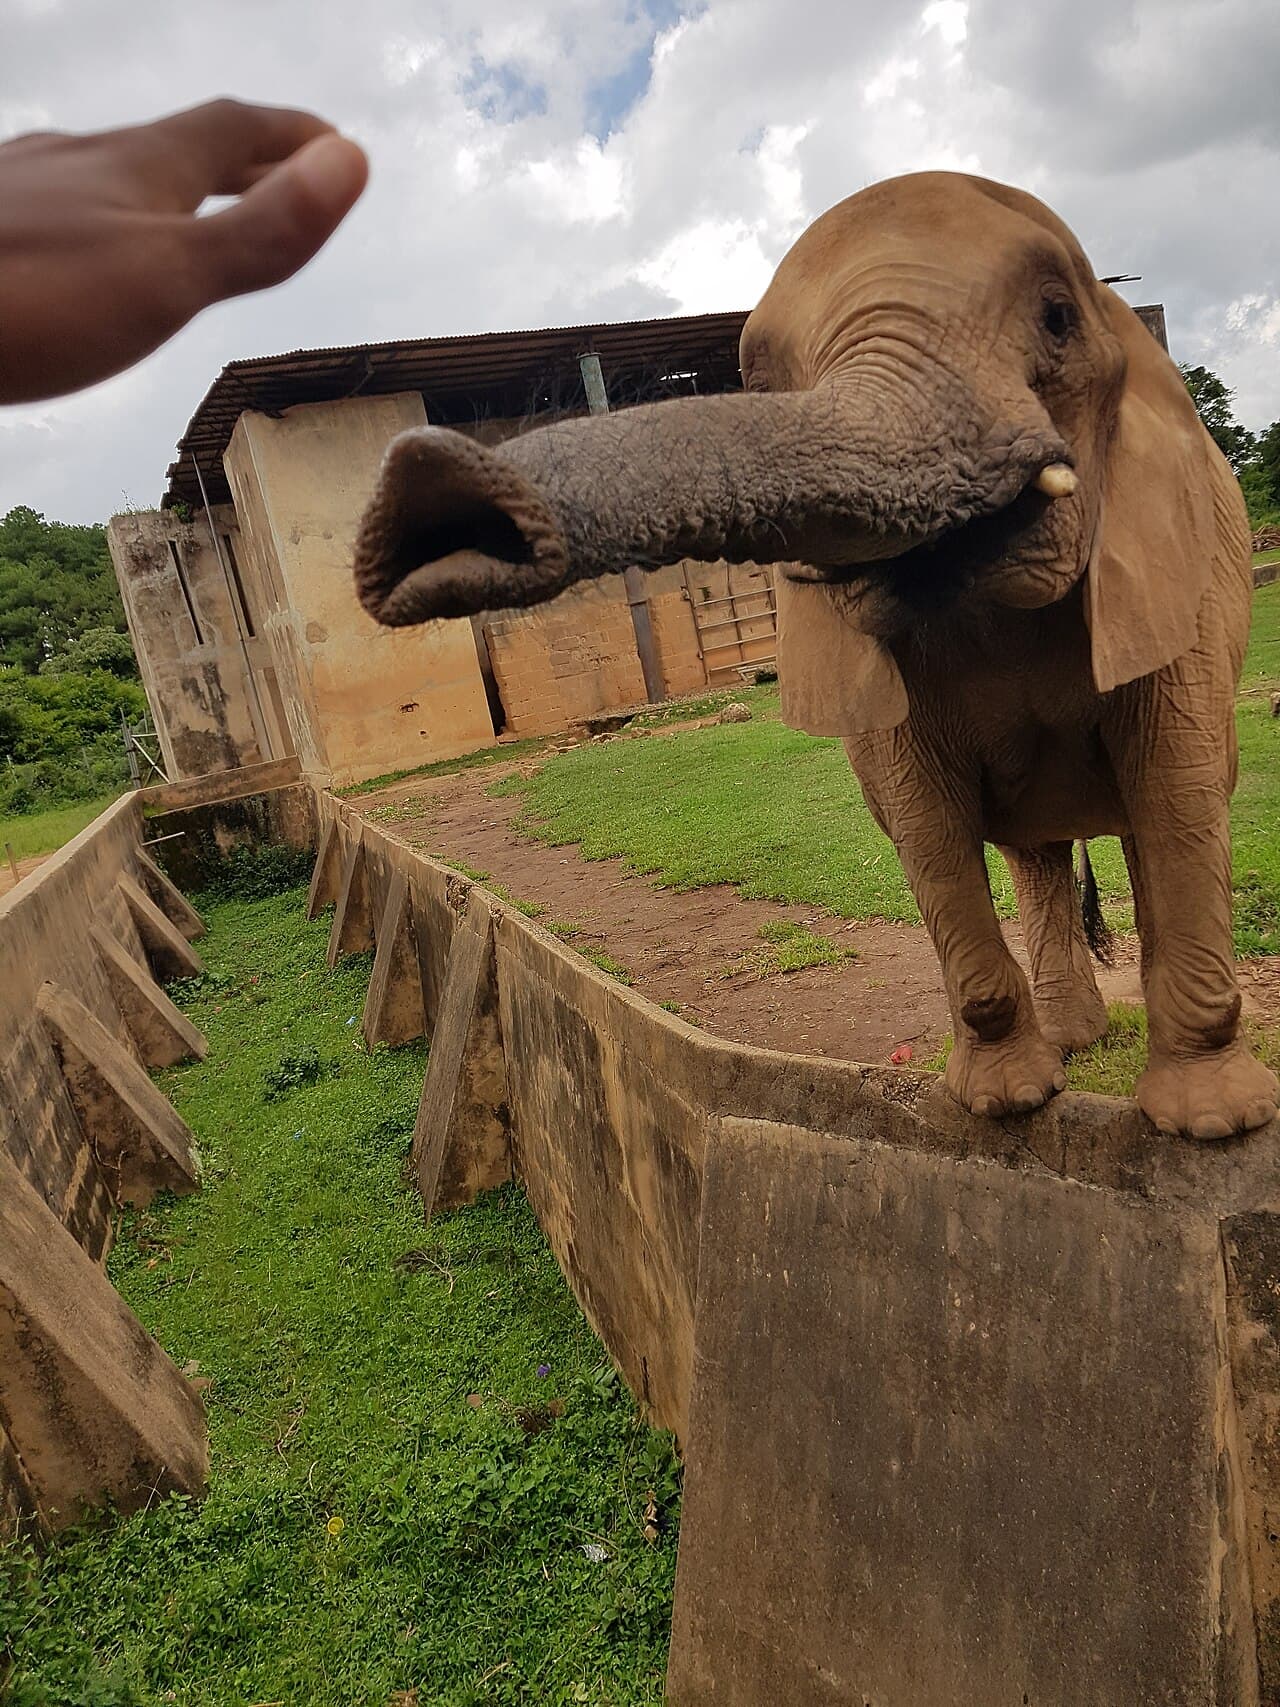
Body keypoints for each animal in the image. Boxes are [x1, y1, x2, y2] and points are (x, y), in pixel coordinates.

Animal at [351, 170, 1279, 1142]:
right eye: (760, 380)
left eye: (1058, 317)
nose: (424, 498)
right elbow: (926, 825)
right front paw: (1002, 1104)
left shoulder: (1178, 571)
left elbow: (1175, 785)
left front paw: (1213, 1125)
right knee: (1036, 849)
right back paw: (1069, 1044)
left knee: (1149, 817)